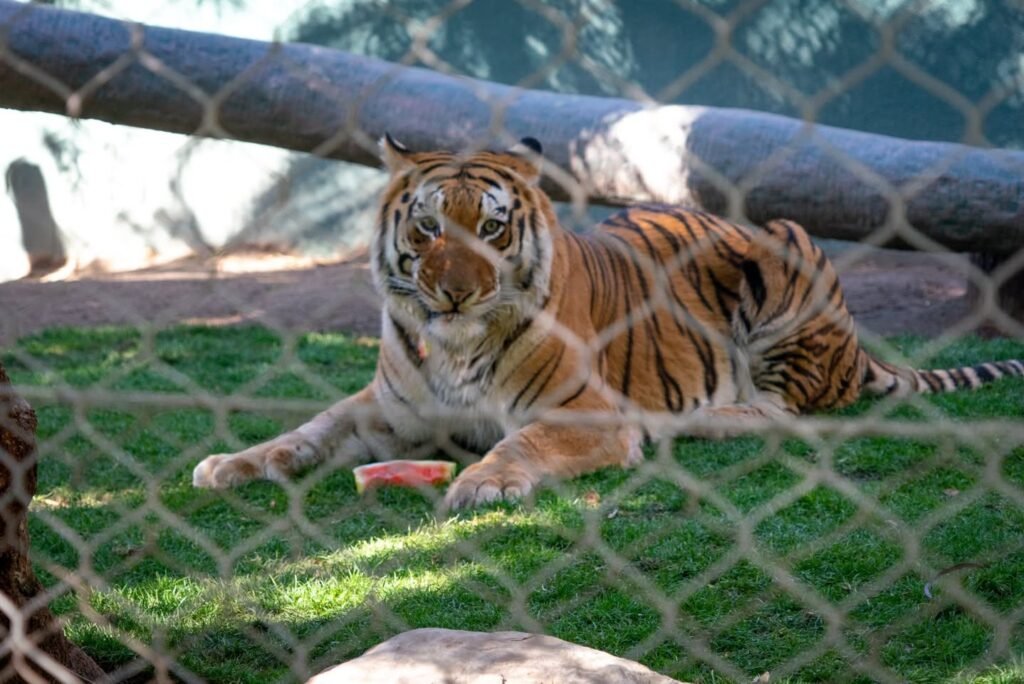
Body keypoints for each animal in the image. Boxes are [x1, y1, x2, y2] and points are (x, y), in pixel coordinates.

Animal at [192, 135, 1024, 510]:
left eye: (490, 229)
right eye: (427, 230)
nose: (455, 295)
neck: (455, 348)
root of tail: (855, 347)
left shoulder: (582, 413)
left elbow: (522, 441)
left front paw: (485, 483)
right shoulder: (384, 412)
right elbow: (307, 431)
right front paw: (229, 463)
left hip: (786, 251)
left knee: (788, 411)